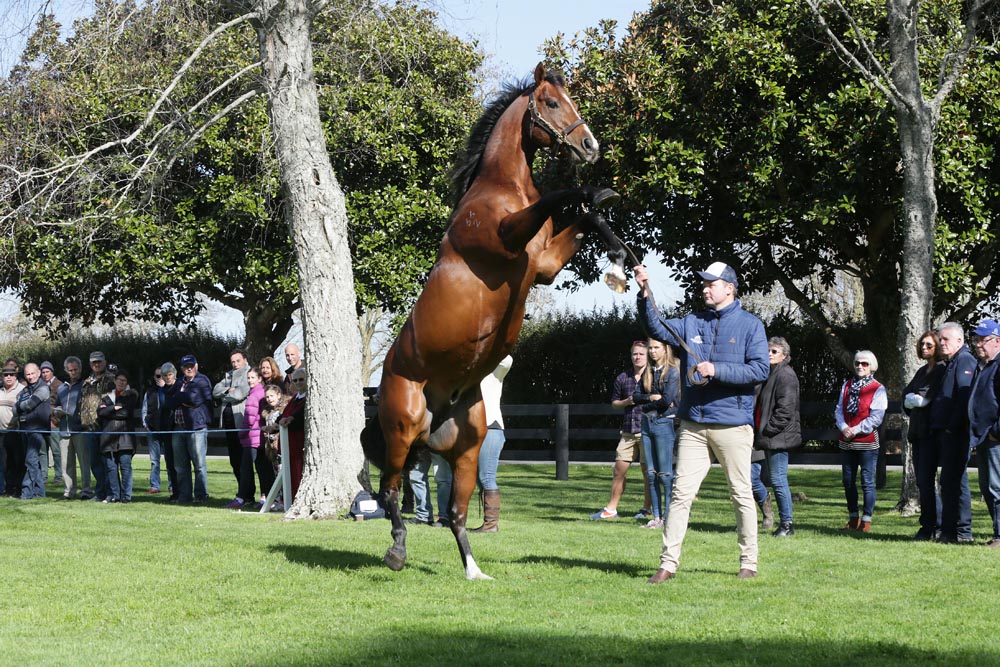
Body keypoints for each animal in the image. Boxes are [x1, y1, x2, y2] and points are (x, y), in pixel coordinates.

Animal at [361, 63, 625, 579]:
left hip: (465, 448)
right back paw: (396, 551)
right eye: (550, 103)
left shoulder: (544, 265)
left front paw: (611, 230)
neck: (502, 189)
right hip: (401, 430)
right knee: (389, 493)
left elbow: (581, 221)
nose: (590, 147)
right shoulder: (506, 239)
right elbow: (561, 196)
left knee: (455, 513)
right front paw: (591, 191)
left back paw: (473, 570)